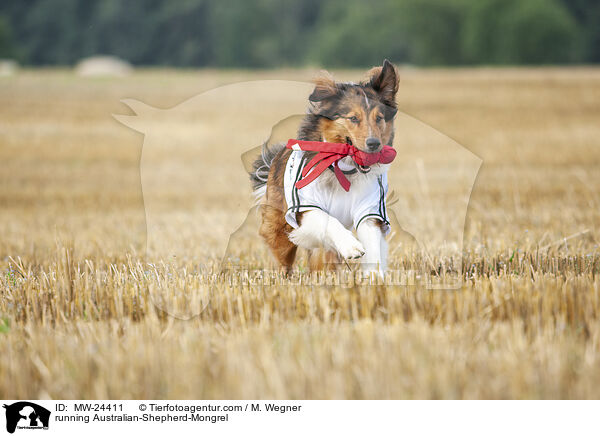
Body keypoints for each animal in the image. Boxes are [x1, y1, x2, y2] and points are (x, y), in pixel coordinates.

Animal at [251, 58, 400, 276]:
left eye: (379, 118)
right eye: (353, 118)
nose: (374, 144)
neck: (344, 170)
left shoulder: (371, 209)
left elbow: (372, 243)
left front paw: (375, 276)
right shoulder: (305, 207)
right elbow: (329, 220)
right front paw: (351, 246)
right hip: (279, 229)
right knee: (283, 257)